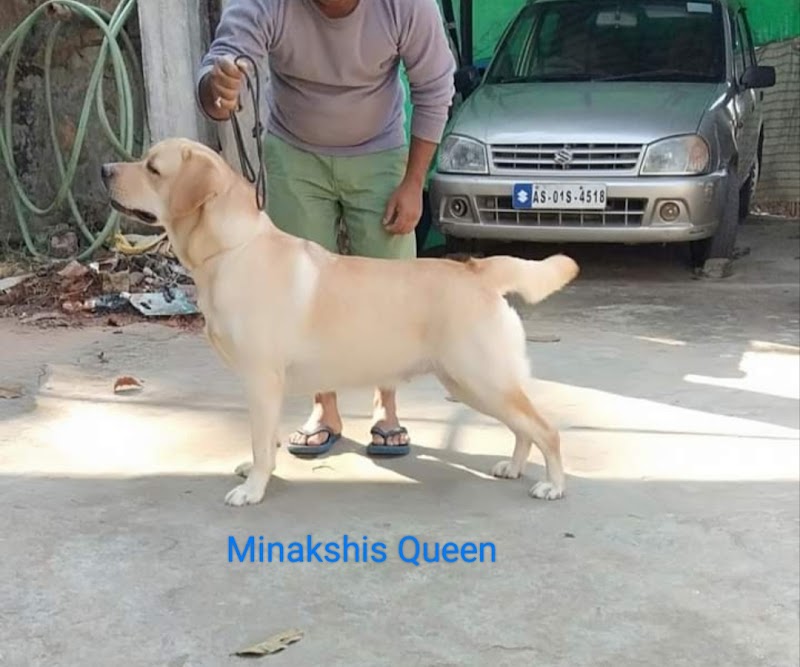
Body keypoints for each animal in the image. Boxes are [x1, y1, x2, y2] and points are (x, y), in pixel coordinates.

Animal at [102, 138, 579, 507]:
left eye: (153, 168)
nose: (104, 169)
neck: (230, 250)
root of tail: (478, 270)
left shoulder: (261, 378)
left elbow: (259, 441)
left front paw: (254, 489)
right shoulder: (264, 385)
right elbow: (265, 439)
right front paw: (256, 472)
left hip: (481, 378)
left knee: (546, 430)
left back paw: (552, 485)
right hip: (471, 384)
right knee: (524, 429)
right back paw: (512, 467)